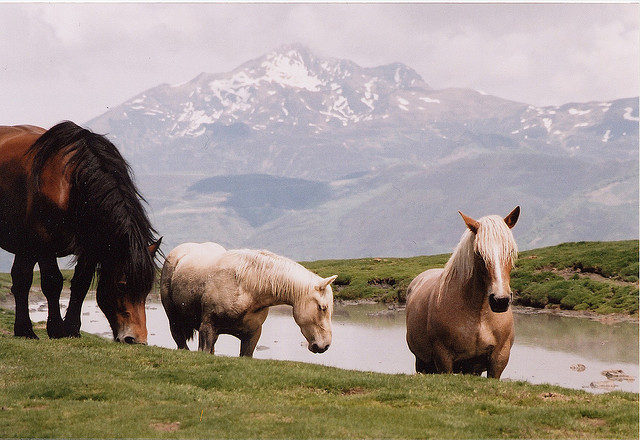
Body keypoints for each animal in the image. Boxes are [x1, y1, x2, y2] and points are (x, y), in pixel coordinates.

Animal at [0, 121, 160, 344]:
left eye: (146, 290)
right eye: (121, 285)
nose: (136, 339)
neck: (71, 184)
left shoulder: (90, 248)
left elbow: (81, 284)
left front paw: (72, 329)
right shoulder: (44, 243)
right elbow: (52, 282)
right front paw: (56, 329)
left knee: (21, 280)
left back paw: (24, 330)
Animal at [160, 242, 338, 360]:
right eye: (322, 308)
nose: (324, 346)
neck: (247, 287)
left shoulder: (252, 335)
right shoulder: (207, 329)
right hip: (174, 321)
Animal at [404, 206, 520, 378]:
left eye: (511, 251)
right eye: (479, 253)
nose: (500, 300)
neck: (479, 316)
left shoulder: (498, 359)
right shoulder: (443, 358)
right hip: (423, 363)